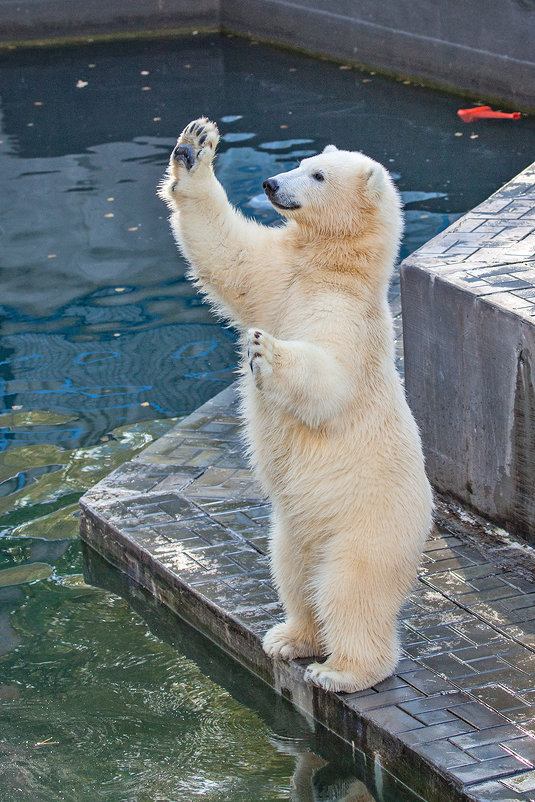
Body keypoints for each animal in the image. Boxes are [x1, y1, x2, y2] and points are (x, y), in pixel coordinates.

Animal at [159, 115, 436, 692]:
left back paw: (343, 670)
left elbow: (329, 380)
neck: (332, 268)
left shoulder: (349, 319)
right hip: (293, 529)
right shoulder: (281, 278)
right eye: (304, 162)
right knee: (293, 573)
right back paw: (290, 638)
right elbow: (229, 256)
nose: (270, 184)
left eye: (319, 175)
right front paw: (195, 147)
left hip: (368, 527)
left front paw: (265, 351)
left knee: (350, 591)